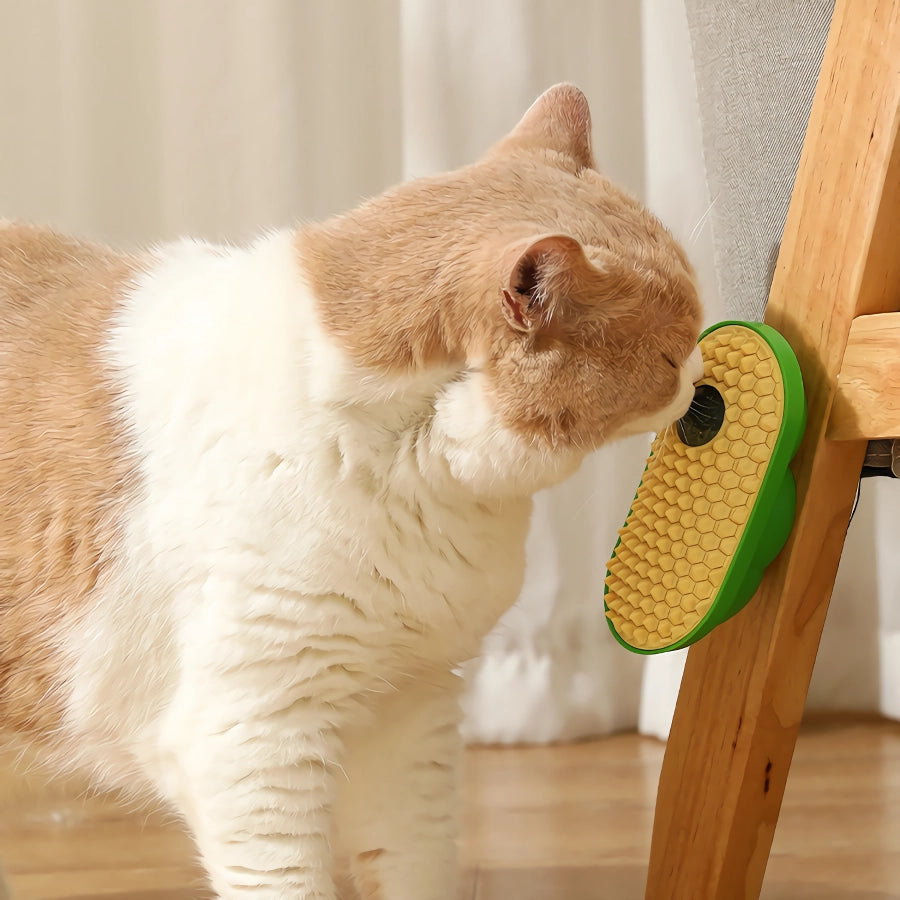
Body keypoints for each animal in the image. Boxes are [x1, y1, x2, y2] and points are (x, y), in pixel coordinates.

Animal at [0, 86, 704, 900]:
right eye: (668, 354)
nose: (702, 372)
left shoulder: (411, 707)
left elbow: (415, 861)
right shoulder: (254, 739)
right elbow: (286, 878)